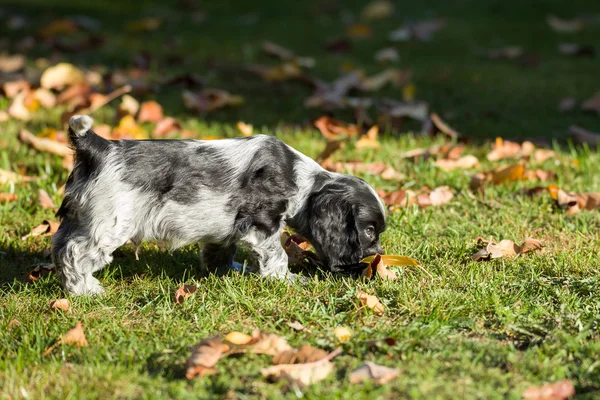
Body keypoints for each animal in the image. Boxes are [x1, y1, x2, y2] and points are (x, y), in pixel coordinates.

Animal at [54, 114, 386, 296]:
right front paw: (288, 280)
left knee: (60, 248)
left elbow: (221, 250)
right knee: (75, 254)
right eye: (369, 230)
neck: (301, 177)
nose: (378, 256)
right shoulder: (262, 223)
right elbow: (277, 255)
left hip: (77, 218)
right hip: (109, 224)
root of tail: (100, 146)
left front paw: (229, 271)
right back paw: (85, 291)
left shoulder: (228, 227)